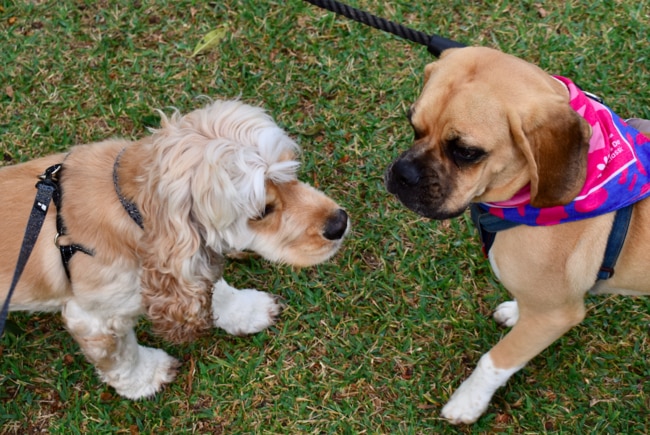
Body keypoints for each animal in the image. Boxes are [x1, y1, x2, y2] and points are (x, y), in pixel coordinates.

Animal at [0, 100, 350, 400]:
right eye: (262, 211)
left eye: (290, 172)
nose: (340, 223)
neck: (131, 205)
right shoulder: (94, 318)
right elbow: (122, 357)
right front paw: (148, 377)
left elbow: (212, 287)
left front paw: (246, 310)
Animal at [384, 46, 648, 424]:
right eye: (413, 126)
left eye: (466, 152)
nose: (402, 174)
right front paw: (515, 311)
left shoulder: (556, 315)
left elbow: (495, 361)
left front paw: (467, 402)